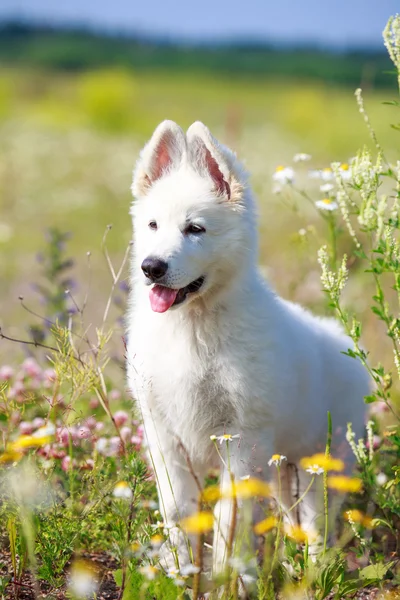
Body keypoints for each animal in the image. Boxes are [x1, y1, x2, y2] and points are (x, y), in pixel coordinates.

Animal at [126, 120, 370, 576]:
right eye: (152, 225)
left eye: (195, 229)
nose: (151, 268)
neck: (193, 328)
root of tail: (349, 347)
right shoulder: (164, 434)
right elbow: (177, 511)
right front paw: (179, 574)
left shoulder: (242, 439)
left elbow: (230, 520)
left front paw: (225, 577)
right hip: (283, 467)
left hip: (324, 464)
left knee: (318, 524)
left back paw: (313, 572)